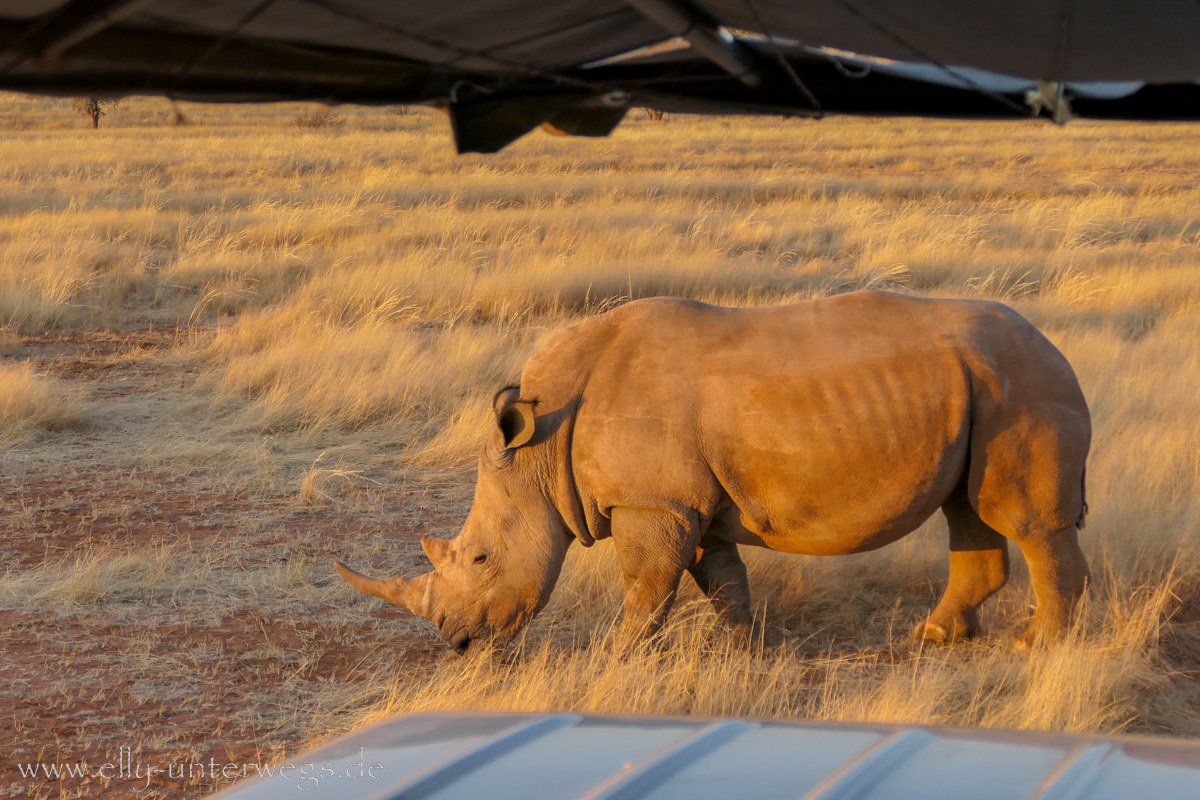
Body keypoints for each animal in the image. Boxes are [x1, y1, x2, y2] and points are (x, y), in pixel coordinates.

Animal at [336, 291, 1089, 652]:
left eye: (482, 558)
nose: (458, 643)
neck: (540, 452)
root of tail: (1055, 347)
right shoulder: (686, 501)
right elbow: (720, 577)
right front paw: (746, 648)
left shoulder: (651, 501)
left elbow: (648, 587)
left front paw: (614, 657)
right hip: (983, 388)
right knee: (969, 510)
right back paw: (935, 638)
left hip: (1023, 386)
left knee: (1025, 521)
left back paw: (1036, 649)